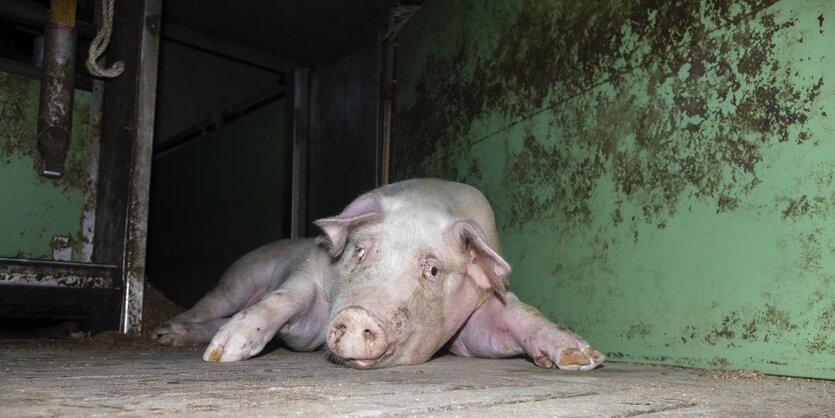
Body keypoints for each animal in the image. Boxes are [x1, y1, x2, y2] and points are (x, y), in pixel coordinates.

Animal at [152, 178, 608, 370]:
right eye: (360, 250)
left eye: (433, 269)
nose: (359, 315)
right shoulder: (309, 278)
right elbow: (287, 297)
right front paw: (226, 354)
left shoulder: (476, 317)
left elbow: (519, 315)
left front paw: (584, 359)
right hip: (237, 279)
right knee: (209, 308)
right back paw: (170, 337)